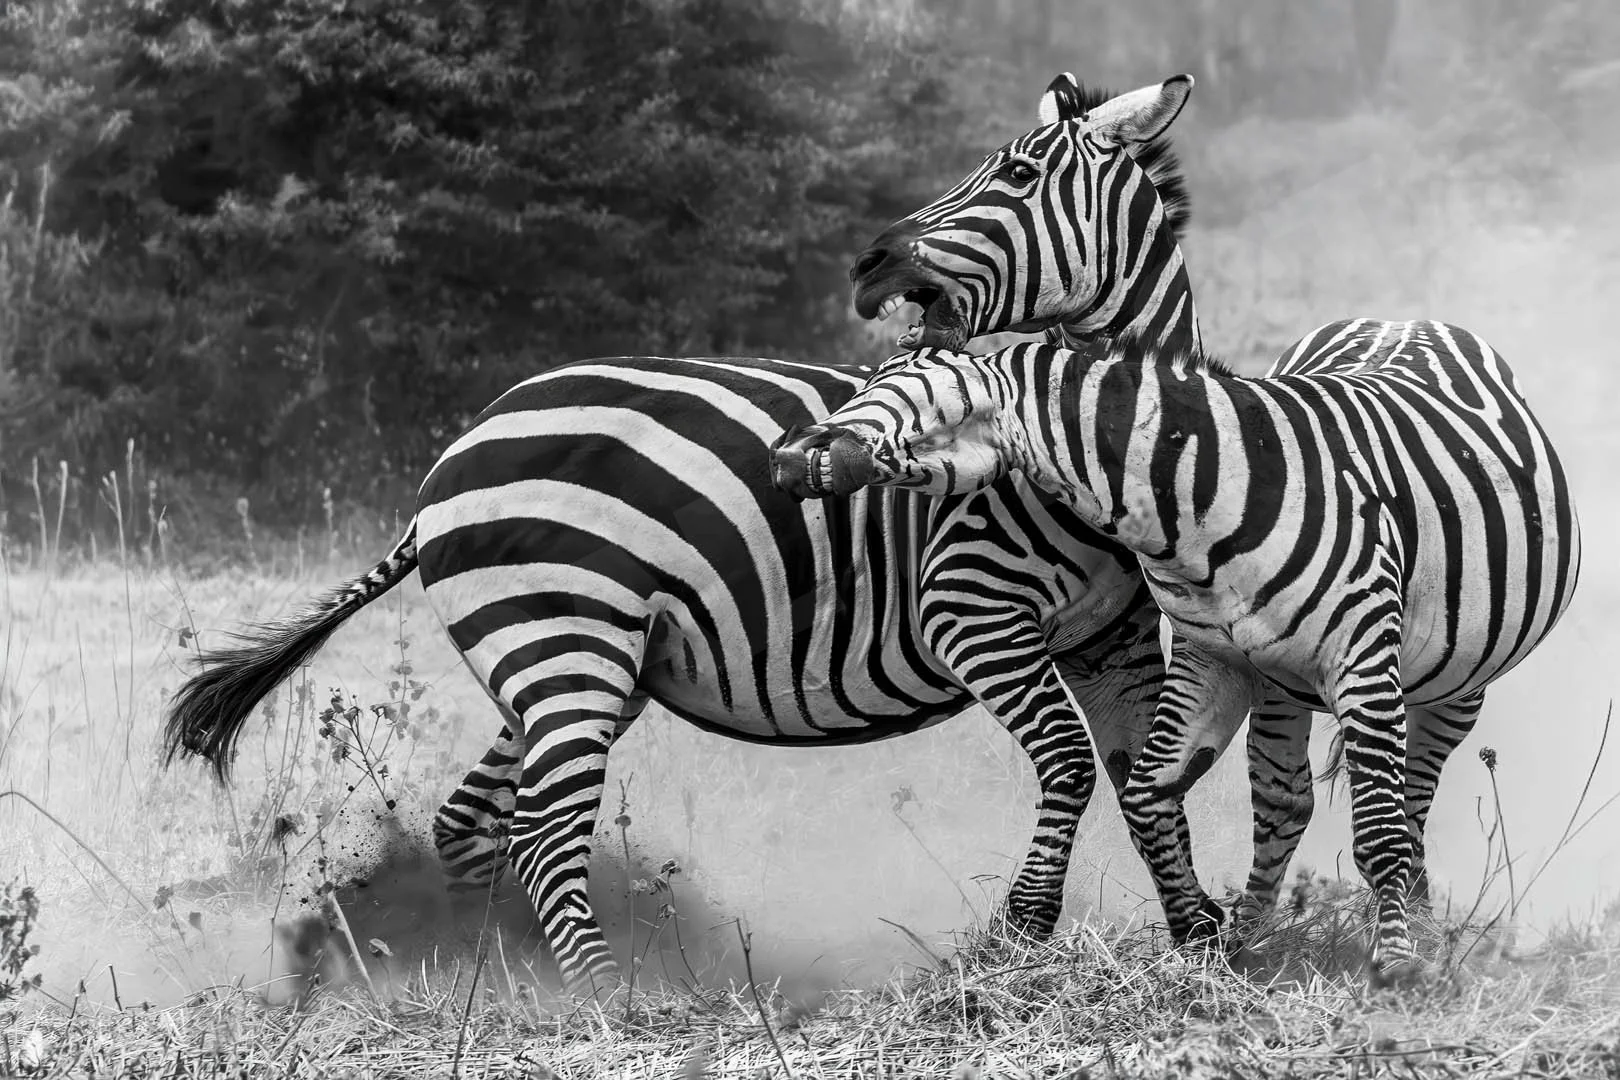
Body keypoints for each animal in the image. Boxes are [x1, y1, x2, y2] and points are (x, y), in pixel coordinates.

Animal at [159, 72, 1225, 994]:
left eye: (1017, 174)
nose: (869, 263)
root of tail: (441, 476)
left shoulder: (1114, 632)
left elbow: (1146, 776)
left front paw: (1200, 937)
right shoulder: (970, 610)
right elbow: (1071, 763)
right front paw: (1022, 934)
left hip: (566, 663)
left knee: (472, 820)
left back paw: (490, 974)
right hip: (565, 644)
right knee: (544, 830)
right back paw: (609, 995)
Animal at [768, 323, 1580, 977]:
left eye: (896, 383)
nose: (783, 458)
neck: (1202, 501)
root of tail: (1404, 320)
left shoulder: (1362, 656)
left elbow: (1379, 833)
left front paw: (1399, 968)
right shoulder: (1214, 657)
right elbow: (1149, 790)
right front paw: (1208, 944)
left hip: (1451, 684)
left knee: (1409, 800)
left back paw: (1417, 925)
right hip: (1282, 683)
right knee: (1284, 800)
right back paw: (1257, 935)